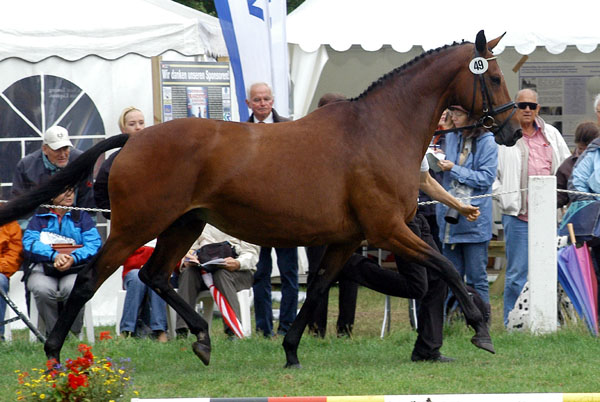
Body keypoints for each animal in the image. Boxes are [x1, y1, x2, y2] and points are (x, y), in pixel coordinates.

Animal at [1, 29, 520, 366]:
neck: (378, 129)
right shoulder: (387, 229)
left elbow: (318, 288)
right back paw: (54, 355)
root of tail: (134, 138)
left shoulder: (348, 239)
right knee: (91, 278)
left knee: (154, 276)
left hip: (184, 224)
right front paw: (481, 328)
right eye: (493, 77)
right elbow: (447, 265)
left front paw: (291, 351)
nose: (514, 131)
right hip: (136, 227)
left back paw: (203, 339)